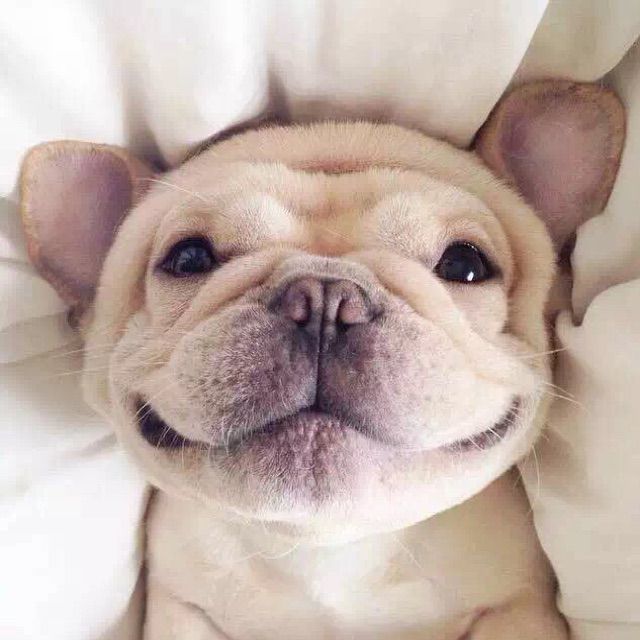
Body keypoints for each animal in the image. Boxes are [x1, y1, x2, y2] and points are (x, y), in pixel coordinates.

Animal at [19, 81, 624, 639]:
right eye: (188, 258)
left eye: (465, 264)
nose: (325, 298)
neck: (330, 550)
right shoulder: (181, 606)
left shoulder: (516, 606)